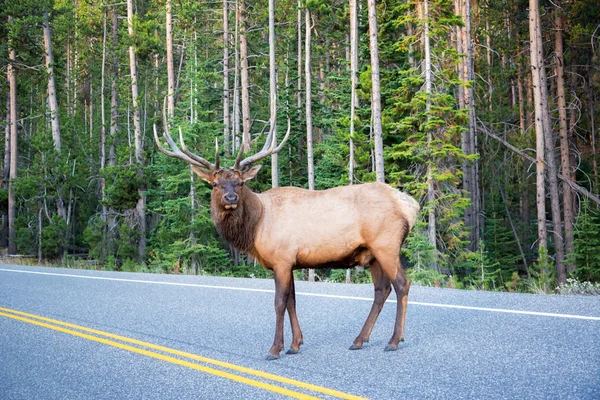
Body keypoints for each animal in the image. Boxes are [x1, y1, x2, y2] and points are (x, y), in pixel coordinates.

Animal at [152, 117, 420, 360]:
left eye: (239, 183)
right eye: (215, 184)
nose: (231, 198)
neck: (256, 225)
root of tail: (410, 205)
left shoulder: (281, 260)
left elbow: (279, 303)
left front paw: (274, 349)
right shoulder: (289, 262)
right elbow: (292, 301)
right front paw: (295, 345)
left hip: (386, 245)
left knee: (401, 284)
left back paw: (394, 340)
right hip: (371, 254)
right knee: (381, 290)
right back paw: (359, 340)